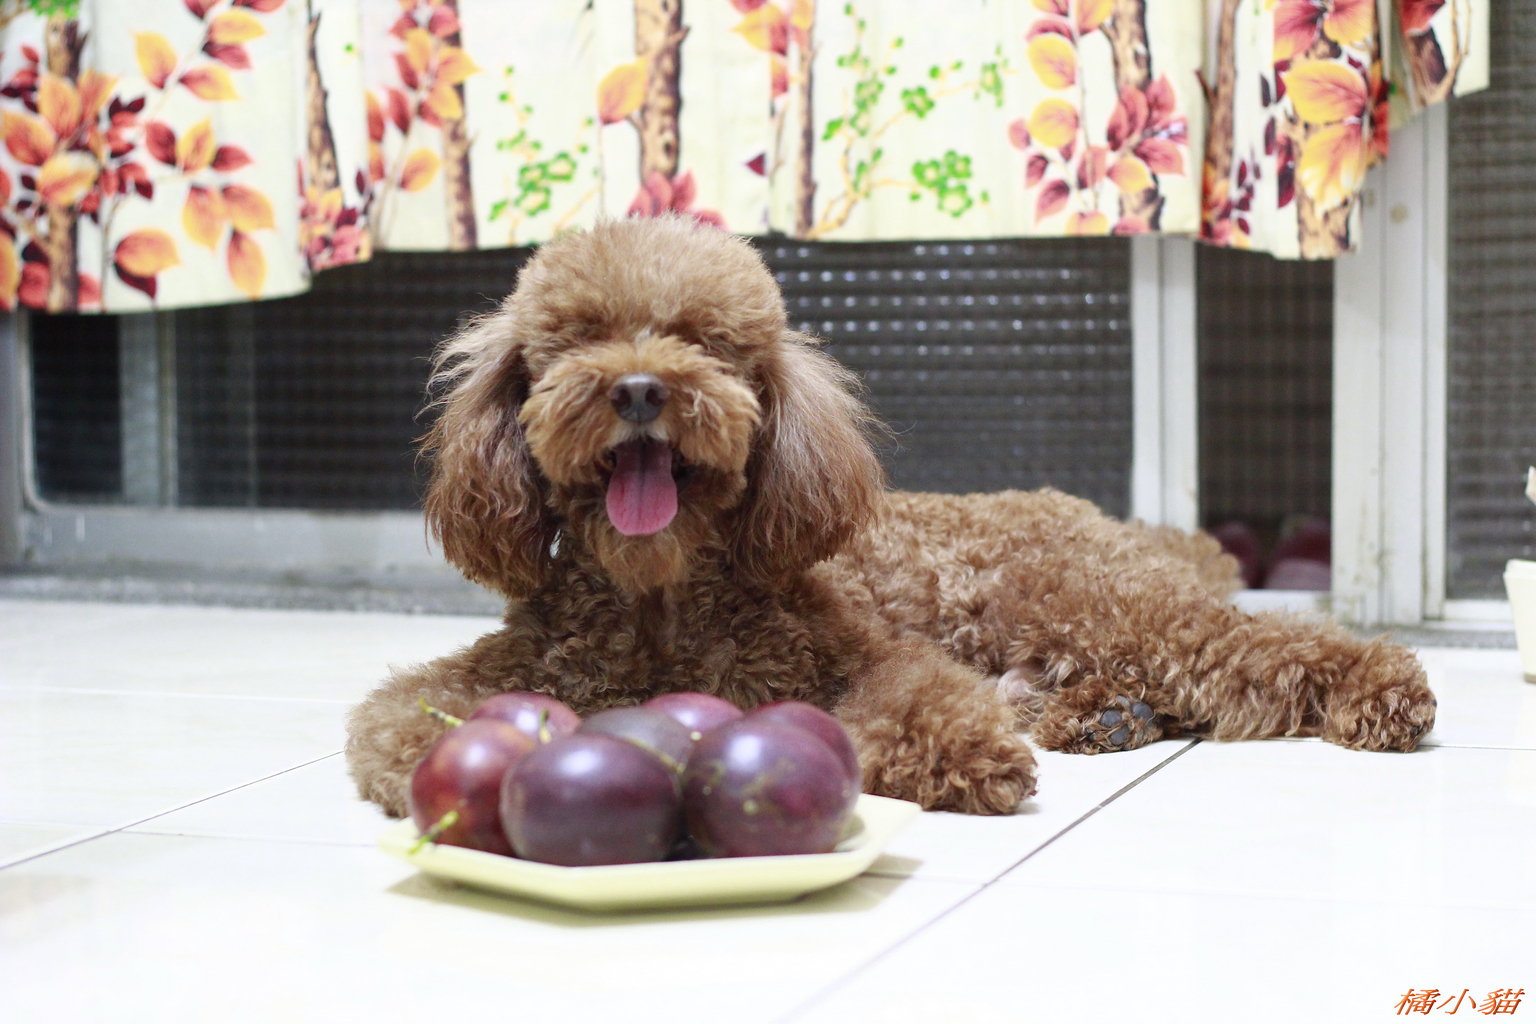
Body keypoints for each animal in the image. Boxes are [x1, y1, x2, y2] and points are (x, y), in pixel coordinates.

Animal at [345, 214, 1436, 817]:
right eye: (576, 339)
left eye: (706, 342)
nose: (642, 388)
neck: (658, 598)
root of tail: (1097, 514)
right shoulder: (501, 669)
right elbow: (392, 725)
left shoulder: (869, 658)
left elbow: (916, 701)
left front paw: (968, 761)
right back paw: (1104, 719)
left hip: (1100, 602)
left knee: (1256, 647)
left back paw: (1383, 690)